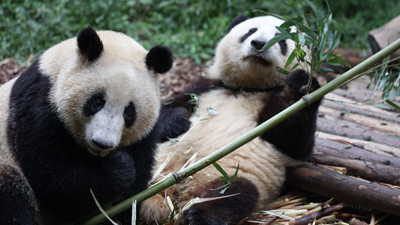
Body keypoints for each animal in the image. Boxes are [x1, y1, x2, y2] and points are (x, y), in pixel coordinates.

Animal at [0, 27, 173, 224]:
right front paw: (119, 167)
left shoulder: (144, 136)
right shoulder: (38, 108)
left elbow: (135, 184)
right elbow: (53, 178)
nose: (102, 143)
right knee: (12, 195)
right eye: (97, 101)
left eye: (129, 111)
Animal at [141, 14, 322, 224]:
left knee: (230, 196)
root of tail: (176, 190)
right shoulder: (205, 87)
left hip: (231, 175)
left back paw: (197, 216)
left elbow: (296, 142)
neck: (250, 87)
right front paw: (178, 121)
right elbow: (162, 112)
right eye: (251, 31)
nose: (258, 44)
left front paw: (300, 86)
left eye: (282, 39)